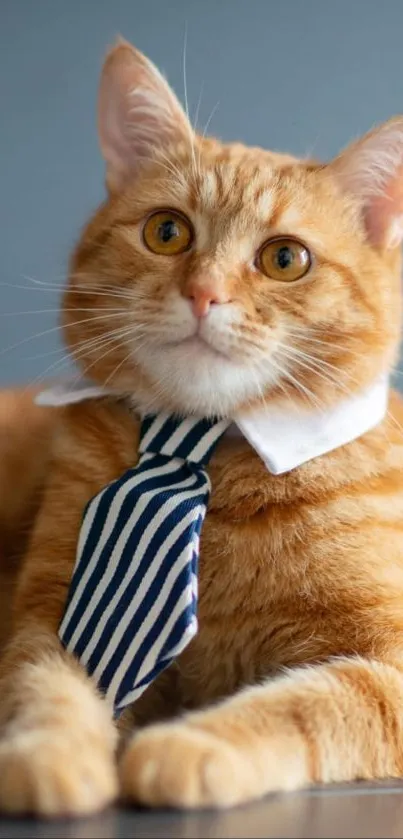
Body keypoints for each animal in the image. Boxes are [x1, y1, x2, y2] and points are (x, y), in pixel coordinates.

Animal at [2, 36, 403, 816]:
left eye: (285, 258)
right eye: (167, 232)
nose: (203, 292)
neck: (203, 455)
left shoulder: (386, 662)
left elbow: (300, 703)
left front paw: (191, 745)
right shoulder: (45, 618)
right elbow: (46, 691)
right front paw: (47, 756)